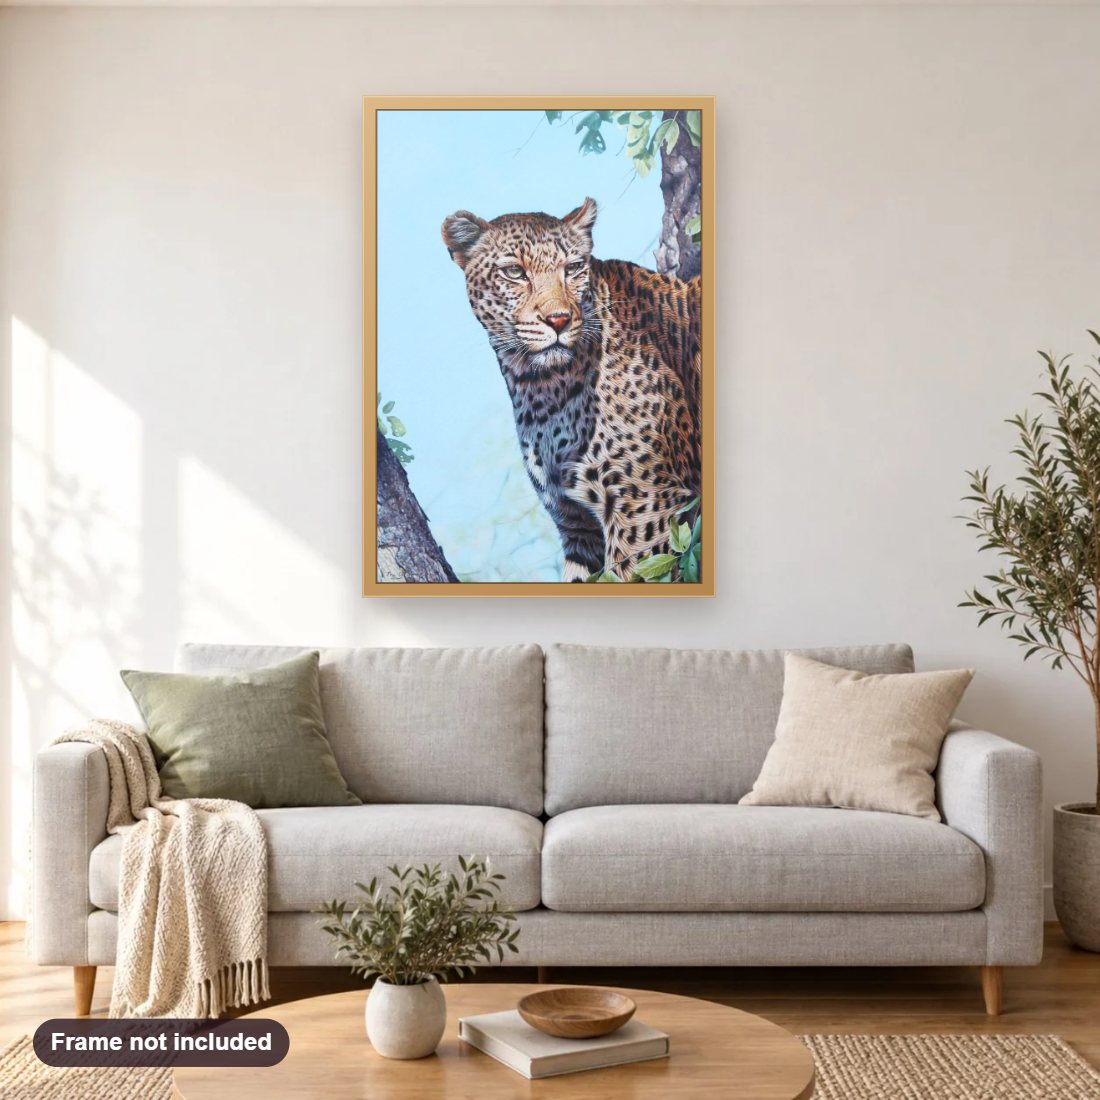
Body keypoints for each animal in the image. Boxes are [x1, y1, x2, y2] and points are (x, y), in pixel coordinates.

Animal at [442, 197, 701, 582]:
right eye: (514, 272)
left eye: (574, 268)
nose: (559, 319)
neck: (542, 387)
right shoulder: (576, 524)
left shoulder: (646, 508)